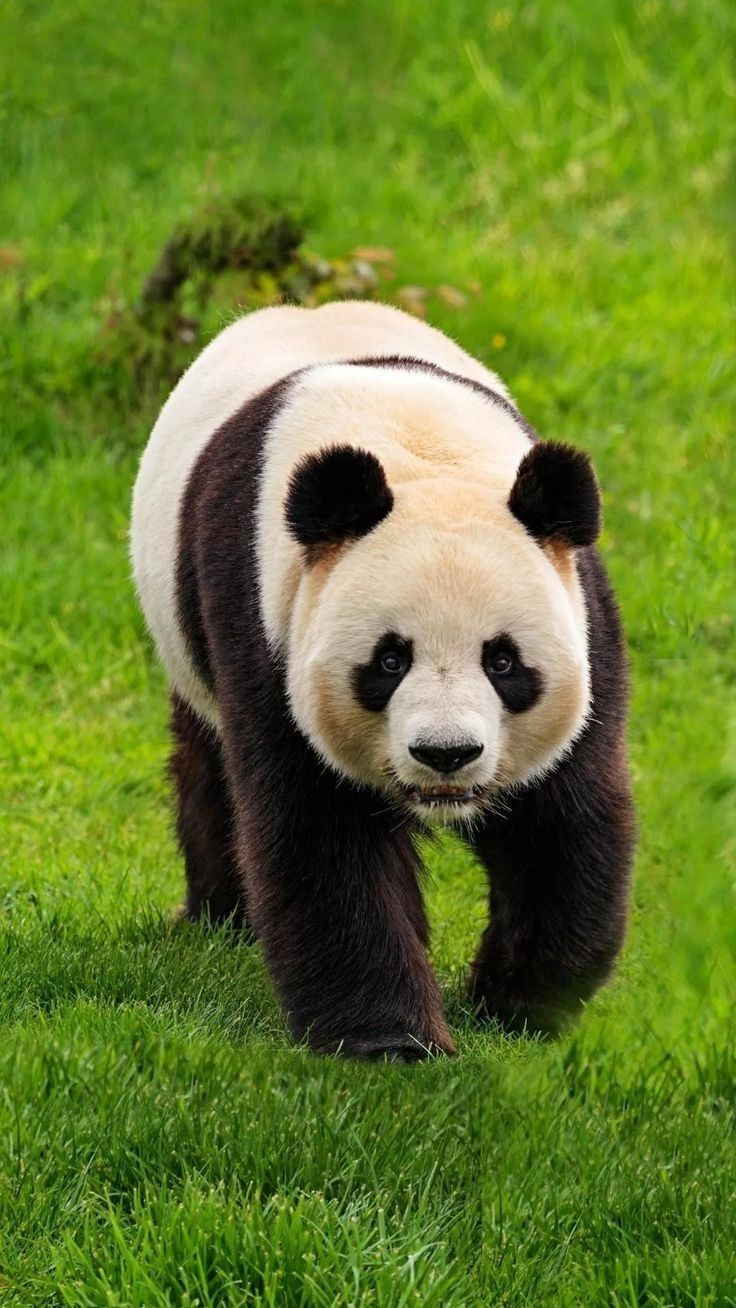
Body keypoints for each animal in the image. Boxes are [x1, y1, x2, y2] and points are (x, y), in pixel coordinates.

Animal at [130, 300, 632, 1056]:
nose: (446, 754)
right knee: (209, 766)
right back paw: (220, 917)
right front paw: (389, 1042)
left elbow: (558, 821)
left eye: (503, 661)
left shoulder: (581, 617)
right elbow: (321, 834)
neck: (418, 454)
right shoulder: (265, 621)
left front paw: (519, 1009)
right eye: (390, 661)